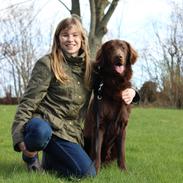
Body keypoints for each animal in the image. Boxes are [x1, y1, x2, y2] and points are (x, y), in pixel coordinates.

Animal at [83, 39, 138, 173]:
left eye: (123, 48)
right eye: (111, 48)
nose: (119, 56)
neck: (115, 83)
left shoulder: (122, 126)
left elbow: (122, 153)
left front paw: (124, 170)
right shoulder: (99, 124)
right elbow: (96, 151)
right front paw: (95, 170)